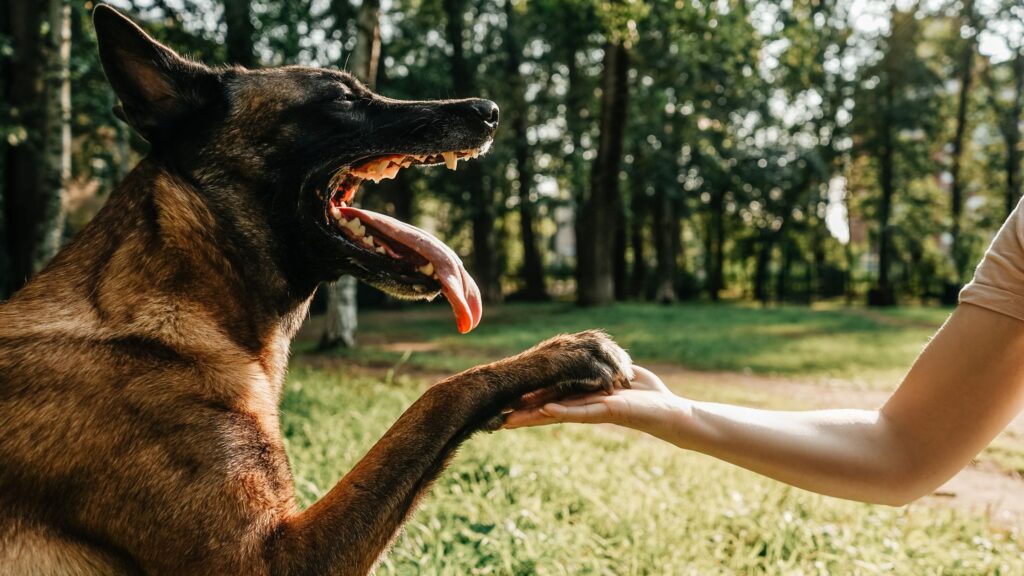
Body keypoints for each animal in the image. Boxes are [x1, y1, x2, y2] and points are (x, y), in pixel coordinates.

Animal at [0, 4, 630, 573]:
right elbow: (439, 396)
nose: (490, 111)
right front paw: (564, 354)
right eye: (341, 100)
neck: (174, 303)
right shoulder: (270, 559)